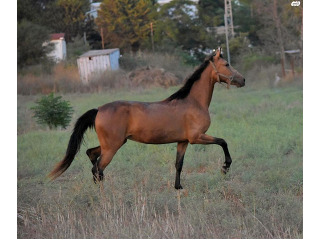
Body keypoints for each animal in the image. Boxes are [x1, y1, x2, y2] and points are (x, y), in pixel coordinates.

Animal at [49, 47, 245, 189]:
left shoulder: (183, 141)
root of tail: (98, 110)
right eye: (227, 64)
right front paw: (225, 168)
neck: (193, 102)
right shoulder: (197, 138)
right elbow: (223, 142)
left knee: (92, 156)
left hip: (112, 144)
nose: (242, 80)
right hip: (112, 147)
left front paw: (178, 187)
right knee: (98, 167)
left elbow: (178, 164)